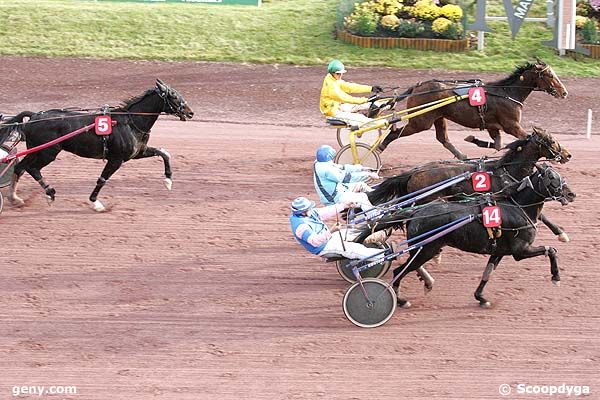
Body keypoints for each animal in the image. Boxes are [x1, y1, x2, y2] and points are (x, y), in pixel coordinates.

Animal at [0, 77, 192, 212]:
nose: (190, 113)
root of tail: (34, 116)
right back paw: (49, 193)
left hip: (37, 150)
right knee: (32, 168)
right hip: (48, 152)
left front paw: (168, 181)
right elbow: (102, 180)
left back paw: (15, 199)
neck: (130, 121)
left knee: (19, 167)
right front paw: (96, 203)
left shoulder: (138, 152)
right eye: (173, 96)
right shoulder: (116, 159)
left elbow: (164, 153)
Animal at [358, 164, 576, 308]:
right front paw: (556, 277)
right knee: (400, 270)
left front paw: (481, 297)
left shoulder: (499, 251)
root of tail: (416, 212)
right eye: (551, 178)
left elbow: (487, 273)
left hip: (425, 247)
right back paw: (400, 300)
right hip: (427, 248)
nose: (571, 194)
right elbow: (551, 250)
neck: (518, 208)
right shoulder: (520, 251)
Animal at [370, 126, 572, 242]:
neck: (507, 171)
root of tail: (415, 171)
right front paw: (561, 233)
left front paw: (560, 233)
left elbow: (542, 215)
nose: (567, 155)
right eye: (552, 141)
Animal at [380, 59, 568, 159]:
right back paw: (379, 151)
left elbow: (498, 145)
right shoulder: (512, 125)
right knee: (394, 133)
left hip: (439, 117)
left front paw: (474, 139)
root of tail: (418, 86)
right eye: (549, 75)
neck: (507, 92)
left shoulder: (493, 126)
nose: (564, 92)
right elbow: (526, 138)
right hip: (421, 121)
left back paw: (461, 156)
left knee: (443, 138)